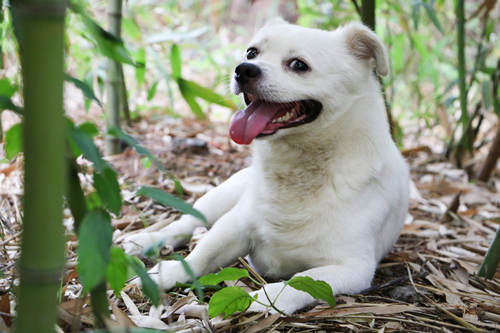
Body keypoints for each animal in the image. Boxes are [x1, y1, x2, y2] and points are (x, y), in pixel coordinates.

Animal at [123, 18, 408, 314]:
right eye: (252, 53)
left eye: (298, 65)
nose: (243, 69)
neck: (298, 168)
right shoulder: (235, 225)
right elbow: (202, 254)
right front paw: (165, 274)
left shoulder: (353, 268)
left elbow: (300, 281)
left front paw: (263, 298)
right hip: (219, 197)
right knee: (187, 221)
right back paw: (146, 240)